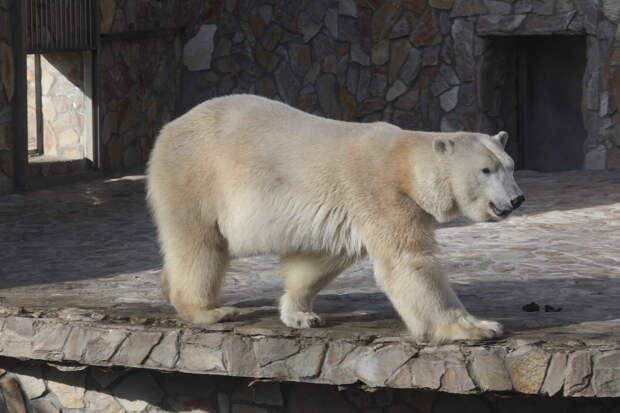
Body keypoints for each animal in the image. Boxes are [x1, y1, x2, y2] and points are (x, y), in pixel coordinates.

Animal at [148, 93, 524, 342]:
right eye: (486, 170)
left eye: (510, 165)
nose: (516, 199)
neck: (404, 163)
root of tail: (169, 128)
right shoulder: (380, 193)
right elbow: (408, 262)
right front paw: (477, 327)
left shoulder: (347, 210)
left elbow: (320, 260)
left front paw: (300, 314)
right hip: (196, 174)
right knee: (199, 243)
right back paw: (208, 309)